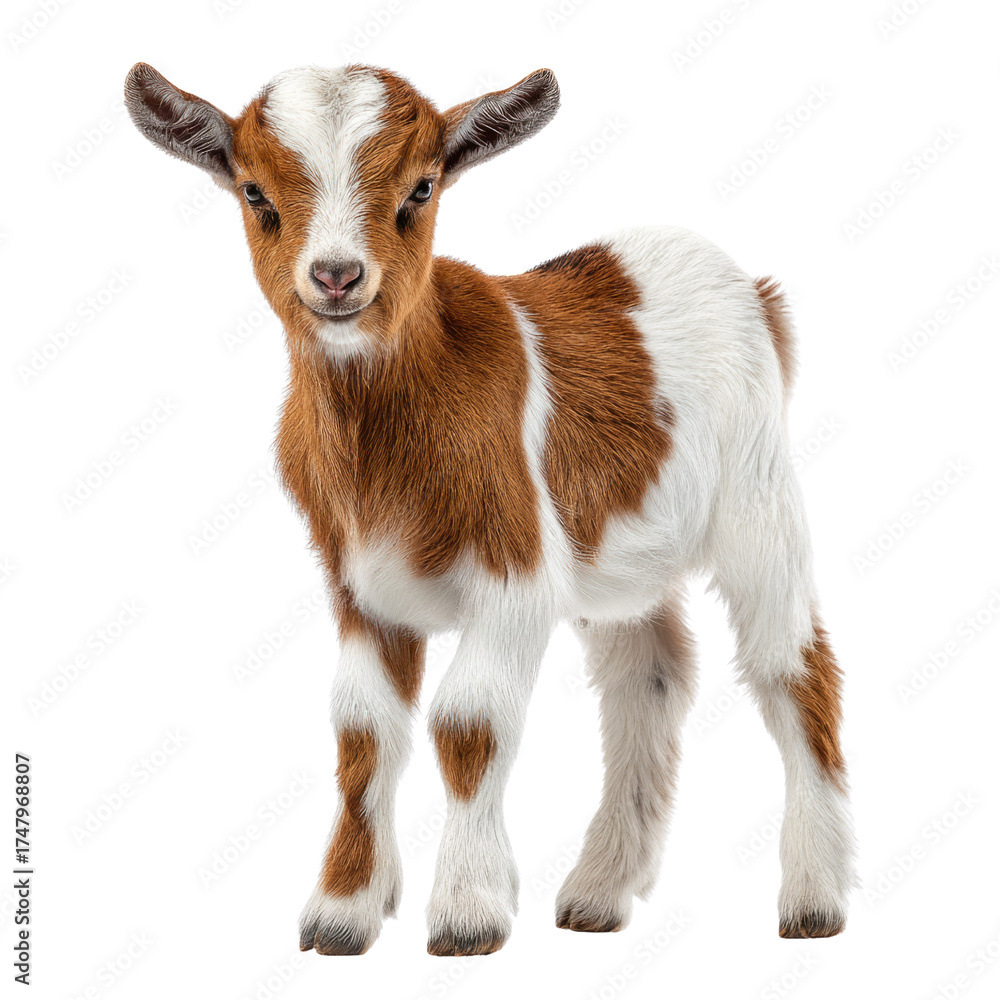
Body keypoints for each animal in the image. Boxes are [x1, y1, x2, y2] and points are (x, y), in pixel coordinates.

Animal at [124, 62, 856, 956]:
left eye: (421, 187)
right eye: (255, 192)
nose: (336, 276)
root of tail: (753, 289)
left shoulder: (516, 569)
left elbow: (467, 722)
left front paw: (468, 909)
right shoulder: (356, 584)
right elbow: (362, 732)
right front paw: (343, 910)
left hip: (759, 500)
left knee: (794, 667)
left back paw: (814, 898)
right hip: (619, 559)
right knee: (647, 677)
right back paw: (600, 891)